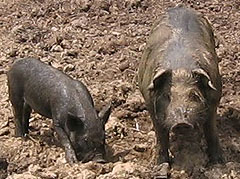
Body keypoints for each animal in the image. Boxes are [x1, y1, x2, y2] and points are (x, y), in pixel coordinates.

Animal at [138, 5, 224, 165]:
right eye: (167, 96)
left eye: (194, 95)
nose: (181, 123)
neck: (180, 68)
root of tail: (180, 6)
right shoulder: (149, 102)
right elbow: (160, 135)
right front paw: (160, 164)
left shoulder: (215, 97)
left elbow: (211, 129)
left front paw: (218, 162)